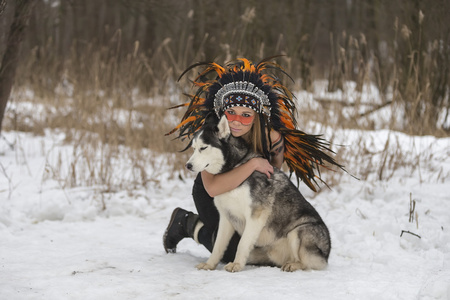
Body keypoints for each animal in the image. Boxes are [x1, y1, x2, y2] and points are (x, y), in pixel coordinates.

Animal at [185, 114, 330, 272]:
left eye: (203, 148)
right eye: (193, 148)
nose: (188, 165)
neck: (235, 168)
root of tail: (327, 255)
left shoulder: (256, 215)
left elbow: (242, 244)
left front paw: (236, 265)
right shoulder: (226, 216)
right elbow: (218, 245)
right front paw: (209, 264)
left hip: (300, 231)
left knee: (306, 262)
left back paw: (293, 265)